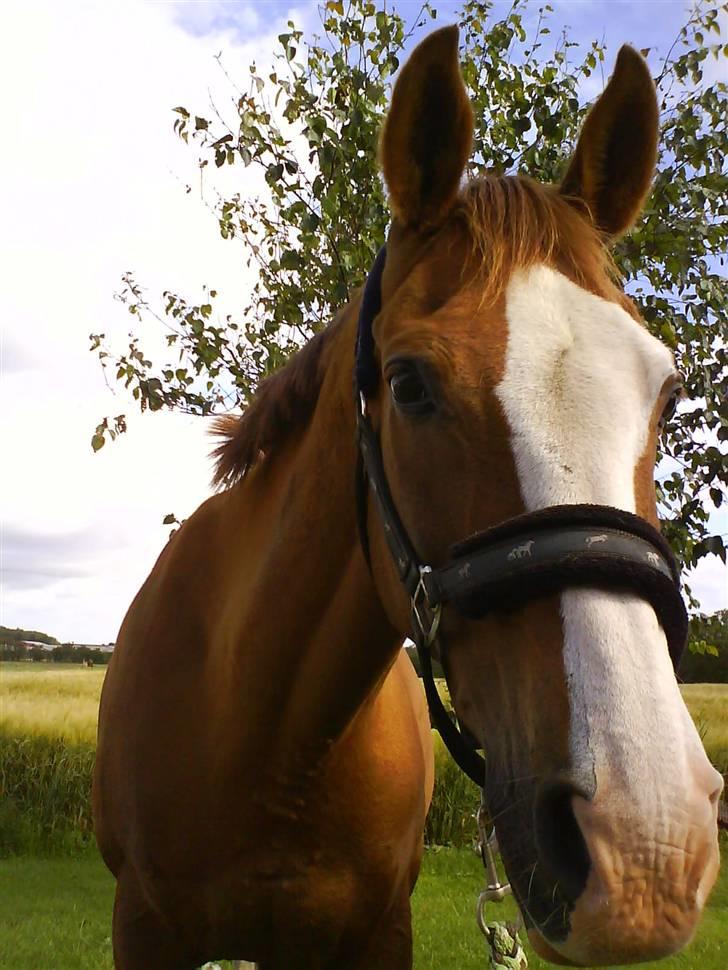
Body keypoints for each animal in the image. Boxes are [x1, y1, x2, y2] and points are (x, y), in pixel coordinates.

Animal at [92, 24, 724, 968]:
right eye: (409, 384)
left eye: (669, 392)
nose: (644, 846)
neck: (269, 743)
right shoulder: (143, 928)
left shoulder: (381, 929)